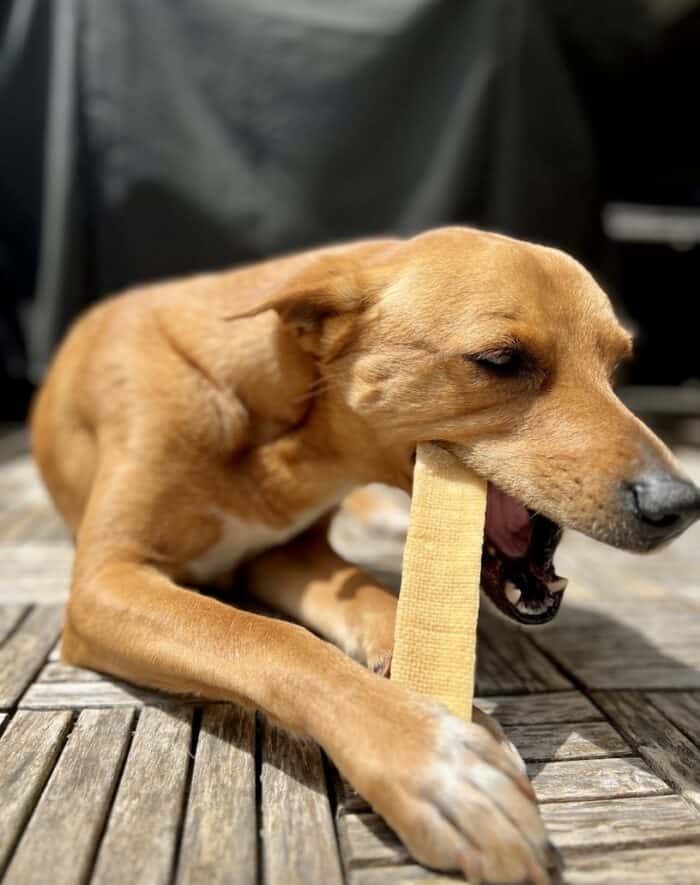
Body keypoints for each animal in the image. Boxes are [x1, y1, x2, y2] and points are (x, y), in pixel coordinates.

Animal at [31, 230, 700, 884]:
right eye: (501, 361)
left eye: (618, 367)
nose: (679, 502)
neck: (283, 428)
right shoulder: (106, 581)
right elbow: (270, 638)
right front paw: (430, 758)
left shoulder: (289, 554)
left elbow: (378, 602)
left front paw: (433, 707)